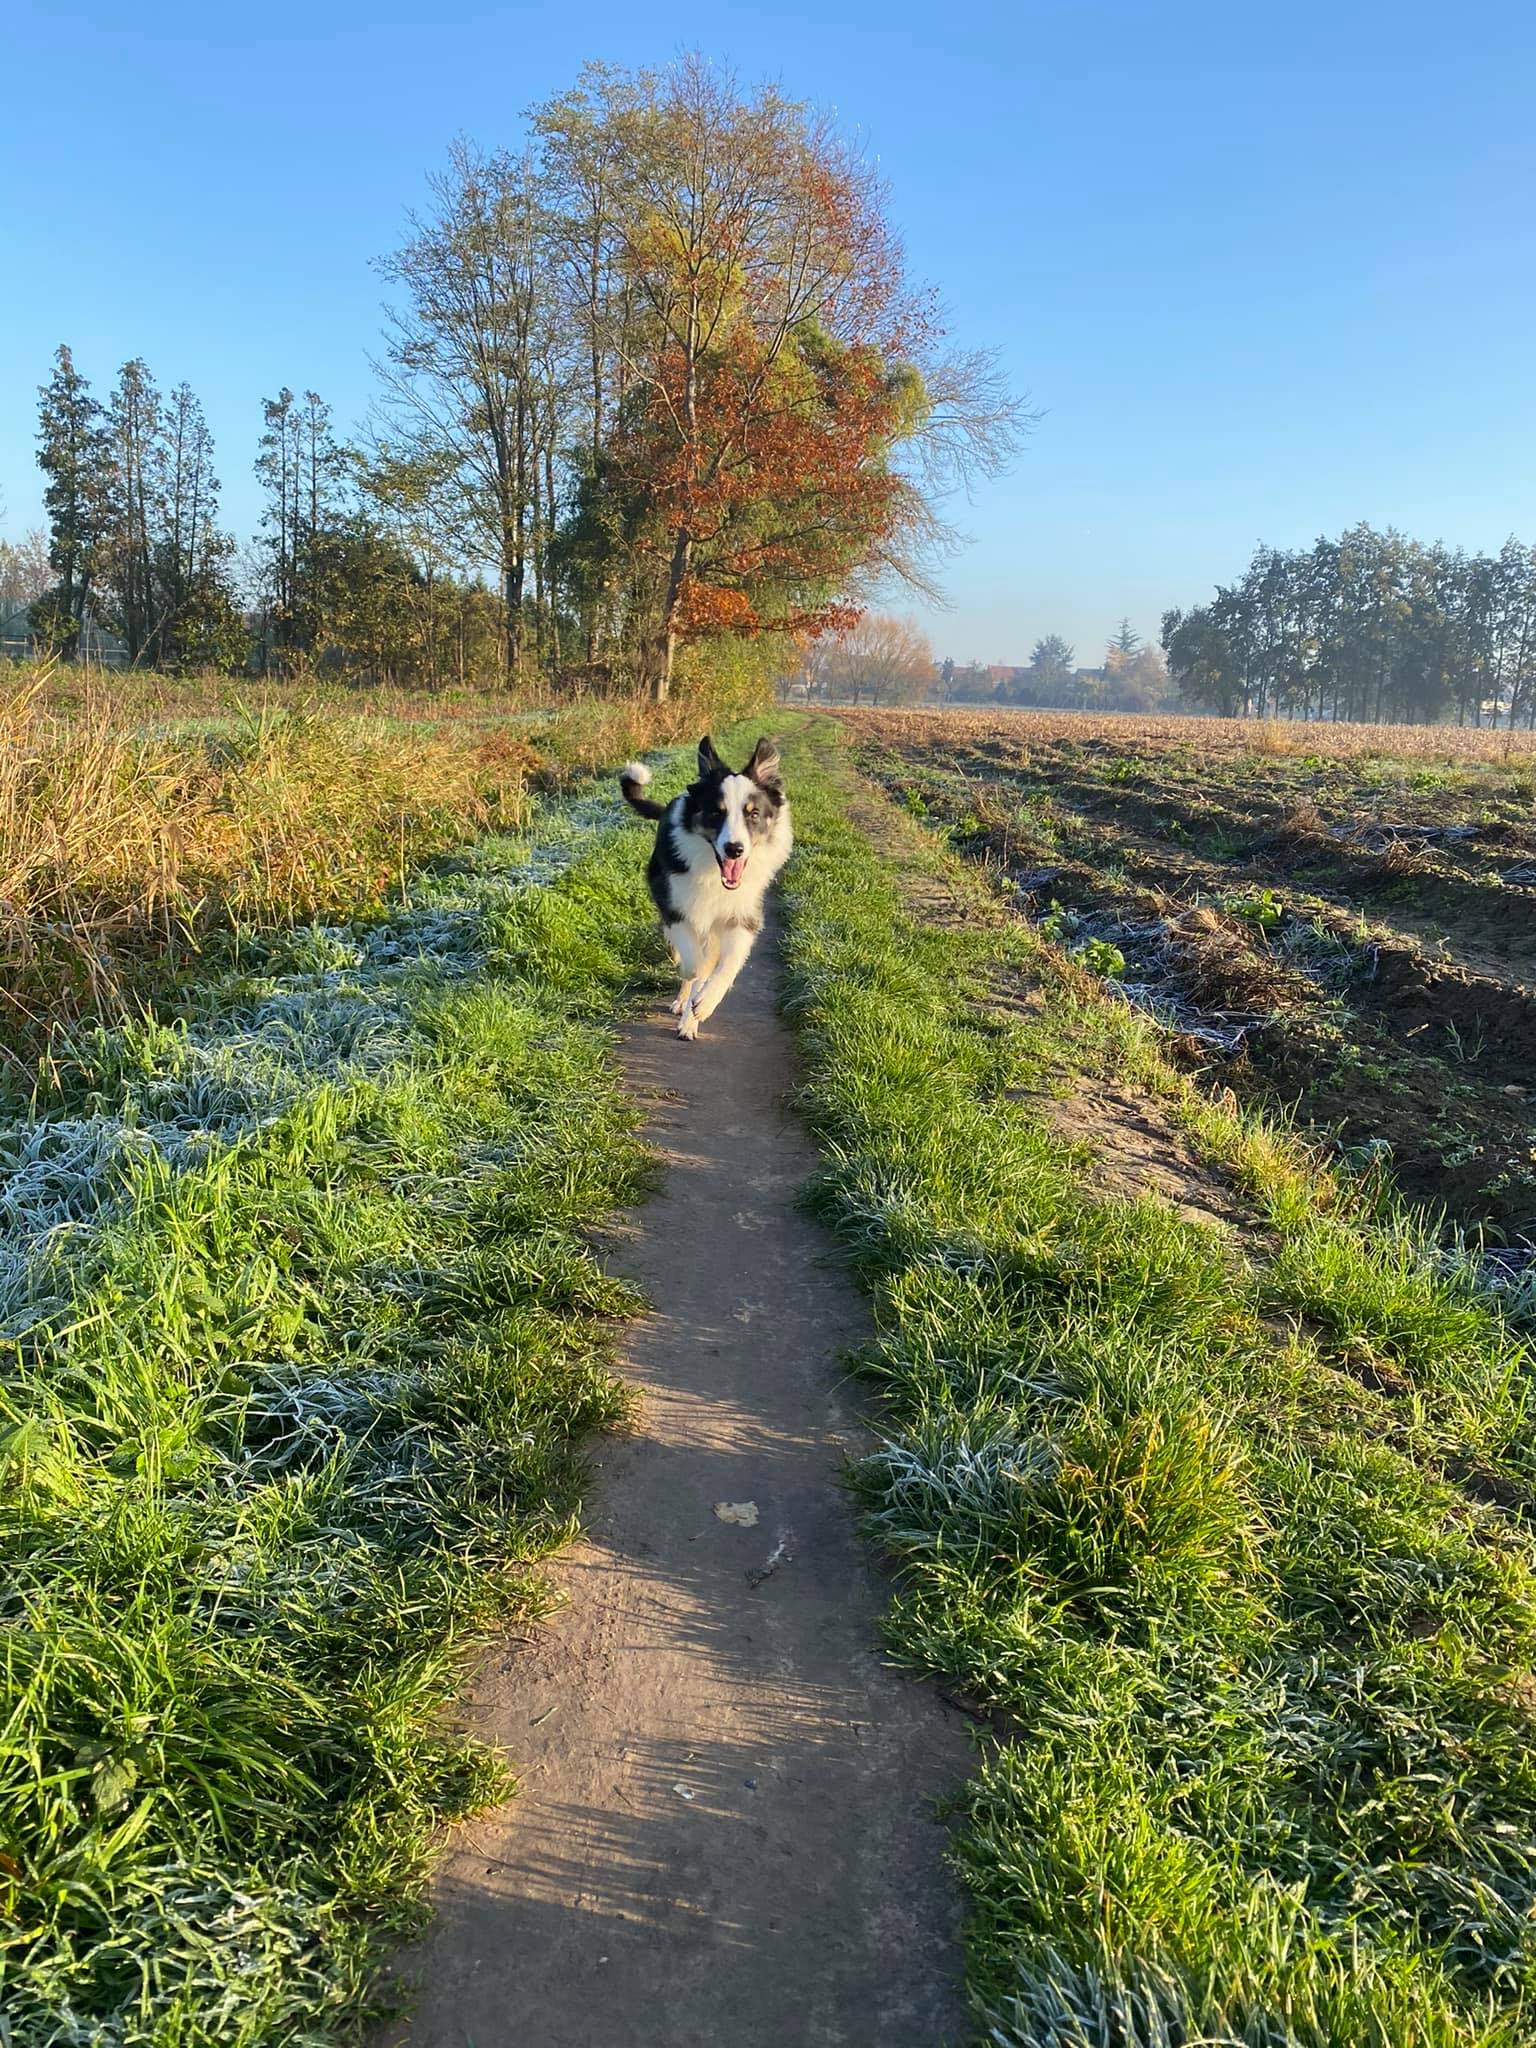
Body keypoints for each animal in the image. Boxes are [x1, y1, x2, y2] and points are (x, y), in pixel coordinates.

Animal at [622, 737, 794, 1040]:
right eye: (716, 812)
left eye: (754, 814)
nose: (734, 849)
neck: (714, 874)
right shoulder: (675, 906)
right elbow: (693, 963)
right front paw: (689, 991)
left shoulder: (743, 916)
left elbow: (726, 964)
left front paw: (704, 1004)